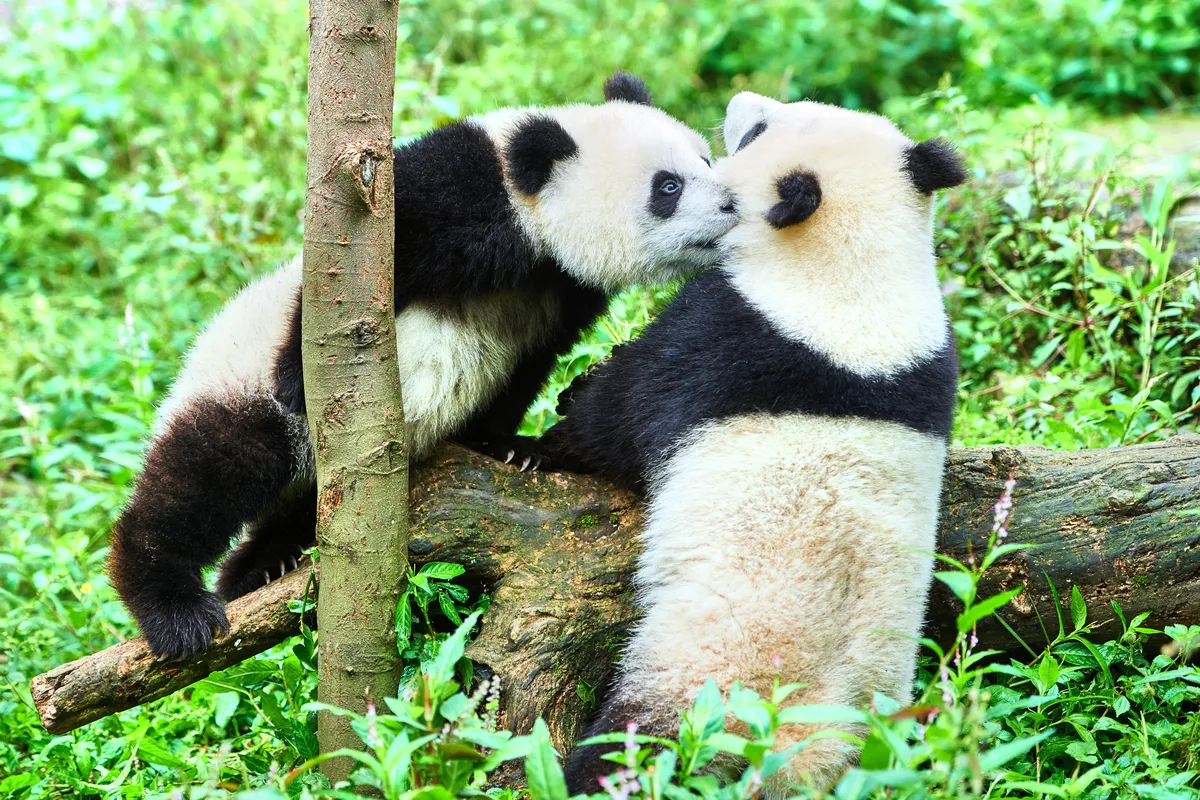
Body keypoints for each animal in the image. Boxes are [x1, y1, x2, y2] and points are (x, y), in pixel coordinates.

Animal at [107, 73, 739, 659]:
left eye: (705, 158)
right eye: (668, 186)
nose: (733, 203)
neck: (533, 236)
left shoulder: (562, 291)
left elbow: (524, 370)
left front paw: (511, 448)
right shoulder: (458, 194)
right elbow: (349, 279)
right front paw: (296, 378)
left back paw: (262, 565)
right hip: (237, 388)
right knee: (208, 472)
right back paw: (177, 606)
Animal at [477, 92, 966, 794]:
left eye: (756, 133)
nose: (740, 102)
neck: (861, 270)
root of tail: (797, 746)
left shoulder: (728, 334)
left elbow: (622, 418)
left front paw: (554, 430)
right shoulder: (931, 365)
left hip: (694, 678)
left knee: (629, 749)